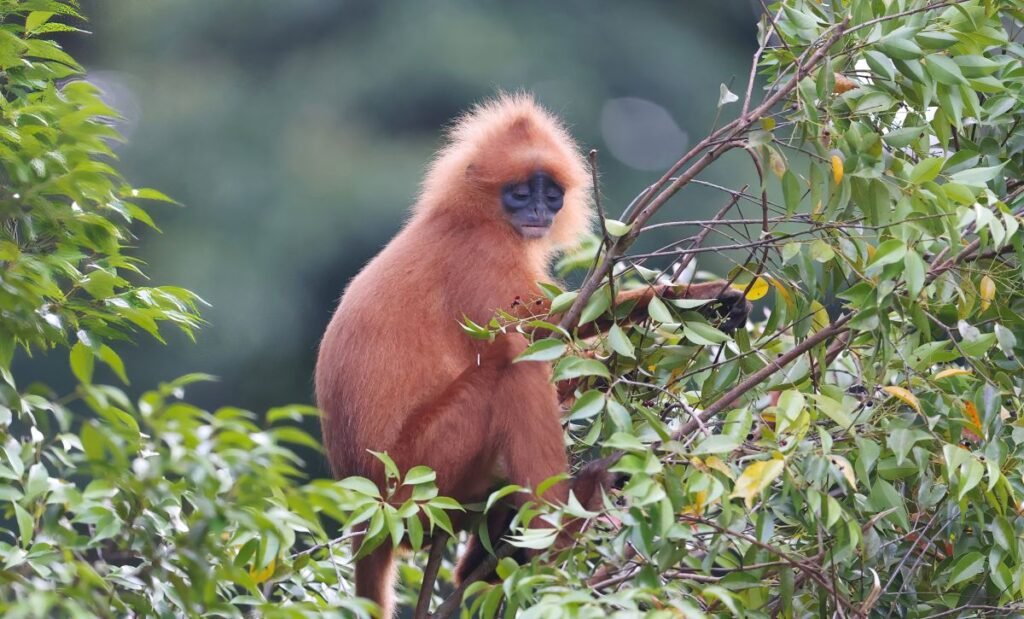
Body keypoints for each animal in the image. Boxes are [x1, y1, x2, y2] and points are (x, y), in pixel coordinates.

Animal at [315, 93, 751, 616]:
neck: (463, 218)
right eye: (521, 193)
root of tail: (369, 517)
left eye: (551, 194)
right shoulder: (485, 254)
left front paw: (706, 302)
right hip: (418, 477)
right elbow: (540, 337)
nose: (540, 209)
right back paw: (561, 527)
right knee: (514, 368)